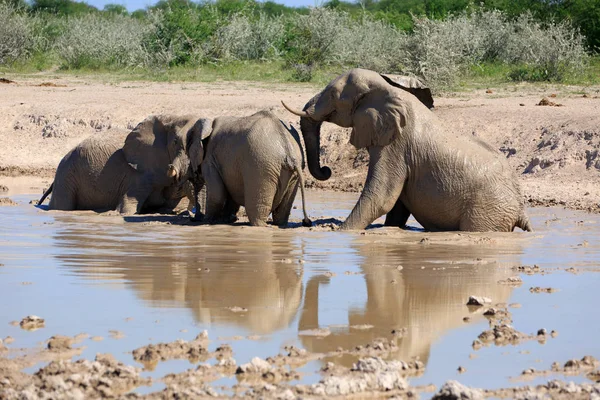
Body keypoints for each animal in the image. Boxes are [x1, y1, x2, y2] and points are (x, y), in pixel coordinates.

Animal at [284, 68, 532, 231]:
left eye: (334, 96)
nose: (327, 170)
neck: (387, 88)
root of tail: (520, 210)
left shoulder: (396, 145)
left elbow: (382, 197)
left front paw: (341, 232)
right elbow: (396, 204)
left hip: (487, 211)